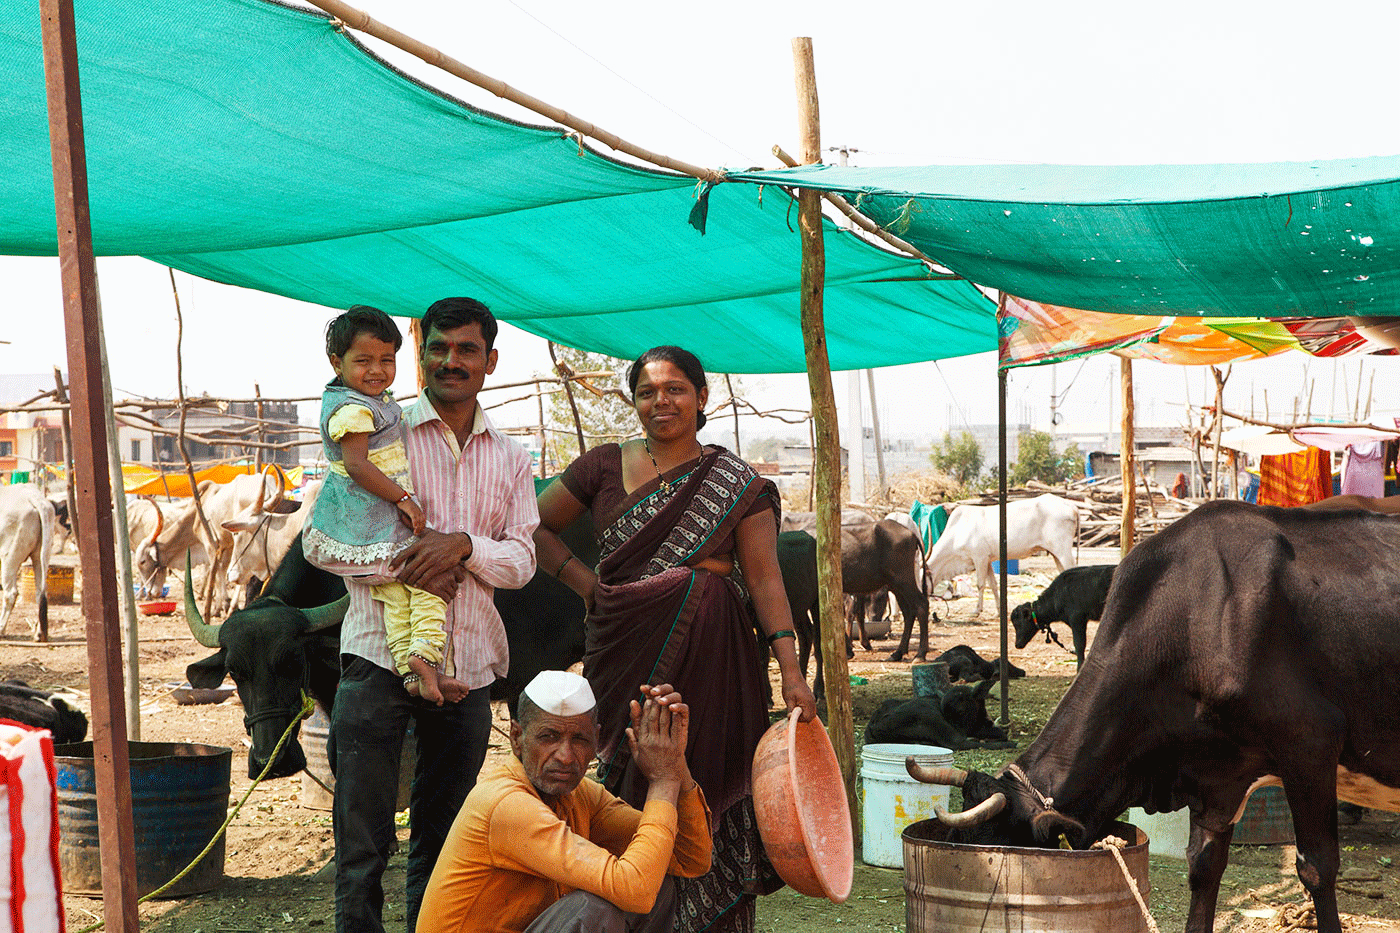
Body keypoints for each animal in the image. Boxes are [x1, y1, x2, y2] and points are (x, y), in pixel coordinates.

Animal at [0, 481, 55, 636]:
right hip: (41, 556)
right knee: (40, 592)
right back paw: (39, 633)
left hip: (9, 558)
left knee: (10, 593)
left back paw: (1, 629)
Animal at [929, 490, 1080, 613]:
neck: (957, 530)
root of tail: (1071, 506)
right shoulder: (987, 560)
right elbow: (993, 585)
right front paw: (998, 610)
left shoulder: (979, 558)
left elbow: (980, 584)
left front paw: (977, 610)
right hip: (1055, 553)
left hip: (1062, 550)